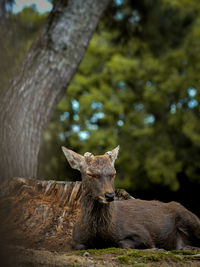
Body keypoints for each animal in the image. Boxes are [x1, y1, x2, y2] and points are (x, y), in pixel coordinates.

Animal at [62, 147, 200, 251]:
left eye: (114, 173)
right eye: (90, 173)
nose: (110, 195)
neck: (100, 234)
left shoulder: (142, 233)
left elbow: (124, 243)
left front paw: (156, 249)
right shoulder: (75, 239)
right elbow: (78, 246)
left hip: (190, 219)